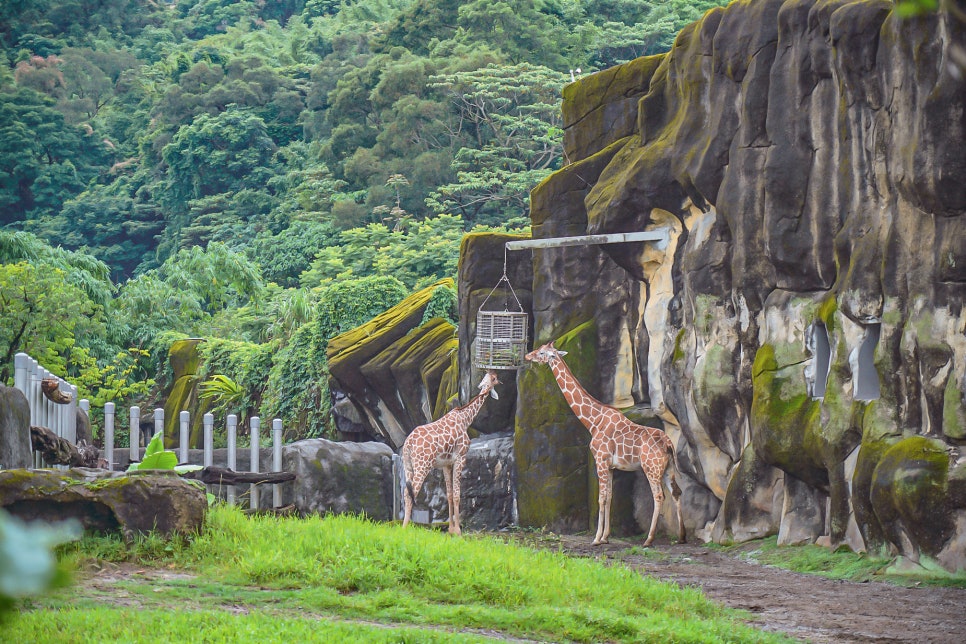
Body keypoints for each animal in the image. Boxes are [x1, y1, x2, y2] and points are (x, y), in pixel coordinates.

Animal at [402, 370, 502, 536]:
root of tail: (408, 444)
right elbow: (456, 494)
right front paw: (459, 532)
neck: (465, 418)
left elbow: (448, 495)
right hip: (422, 465)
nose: (500, 382)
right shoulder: (460, 458)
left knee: (406, 491)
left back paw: (403, 526)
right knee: (411, 493)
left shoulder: (446, 464)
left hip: (408, 467)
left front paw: (450, 529)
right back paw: (404, 528)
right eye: (494, 379)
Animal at [524, 340, 684, 544]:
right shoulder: (610, 465)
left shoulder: (600, 460)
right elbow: (609, 497)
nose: (528, 355)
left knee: (659, 496)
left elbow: (601, 498)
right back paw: (681, 537)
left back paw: (649, 539)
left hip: (651, 468)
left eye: (542, 352)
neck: (593, 422)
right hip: (668, 468)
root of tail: (669, 444)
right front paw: (606, 537)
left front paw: (596, 538)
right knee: (676, 492)